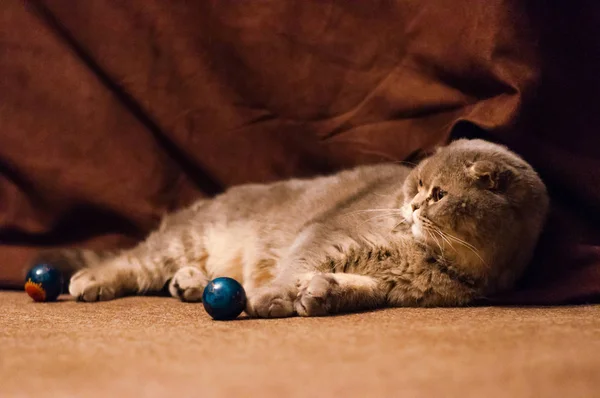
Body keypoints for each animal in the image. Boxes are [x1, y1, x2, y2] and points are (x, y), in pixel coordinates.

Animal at [37, 138, 548, 318]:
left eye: (439, 194)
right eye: (416, 186)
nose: (413, 207)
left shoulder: (394, 288)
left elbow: (361, 289)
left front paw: (321, 294)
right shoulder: (325, 237)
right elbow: (293, 268)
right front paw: (275, 297)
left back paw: (192, 283)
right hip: (184, 238)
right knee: (131, 262)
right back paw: (93, 279)